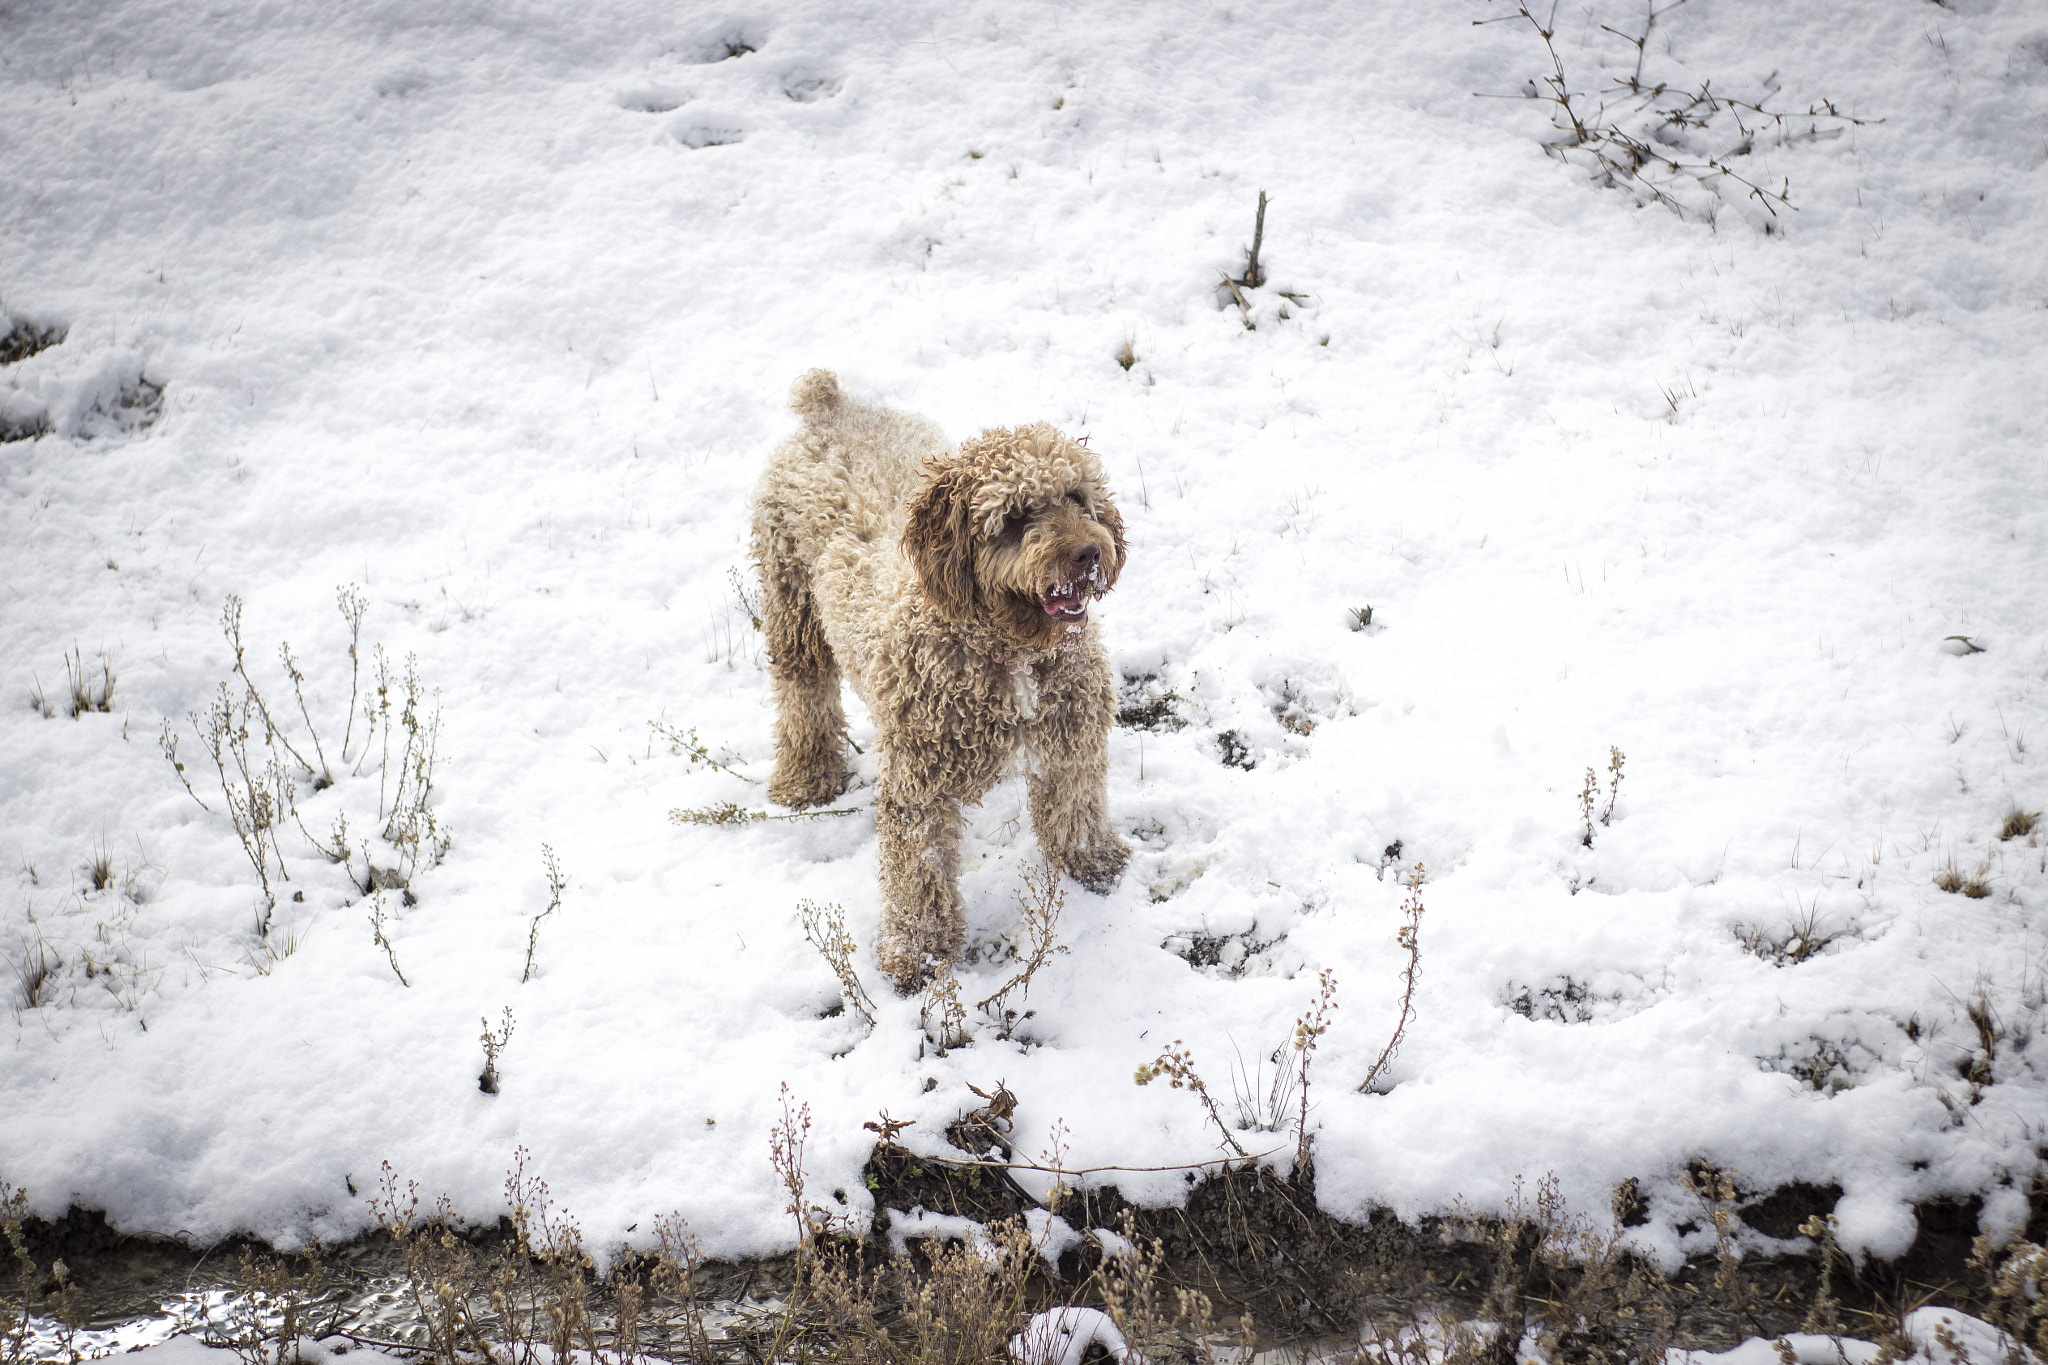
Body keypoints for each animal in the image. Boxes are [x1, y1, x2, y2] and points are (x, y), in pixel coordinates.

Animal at [757, 370, 1138, 994]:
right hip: (791, 603)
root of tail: (829, 407)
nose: (1088, 552)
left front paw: (1097, 867)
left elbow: (1075, 812)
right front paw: (918, 958)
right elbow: (919, 878)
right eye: (1015, 517)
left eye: (1078, 497)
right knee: (803, 694)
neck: (1010, 653)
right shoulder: (919, 787)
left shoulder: (1071, 742)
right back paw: (807, 778)